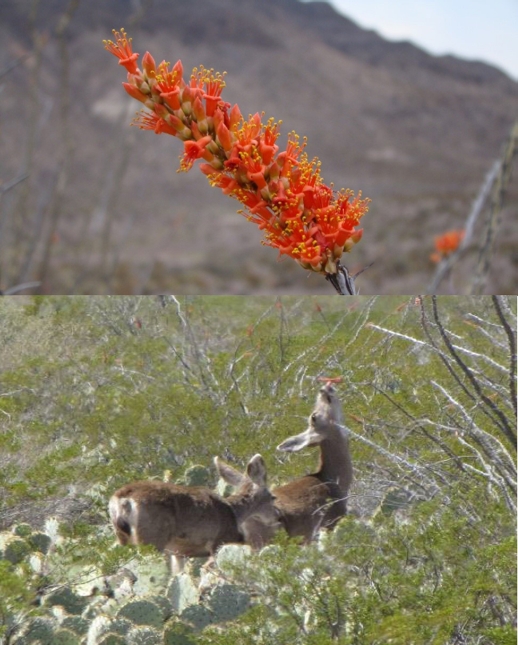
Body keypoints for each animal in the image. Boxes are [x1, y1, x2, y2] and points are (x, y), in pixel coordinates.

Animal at [108, 454, 280, 574]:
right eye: (273, 497)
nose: (277, 516)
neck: (233, 512)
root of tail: (121, 500)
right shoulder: (220, 540)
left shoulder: (178, 553)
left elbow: (178, 574)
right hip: (152, 537)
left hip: (124, 538)